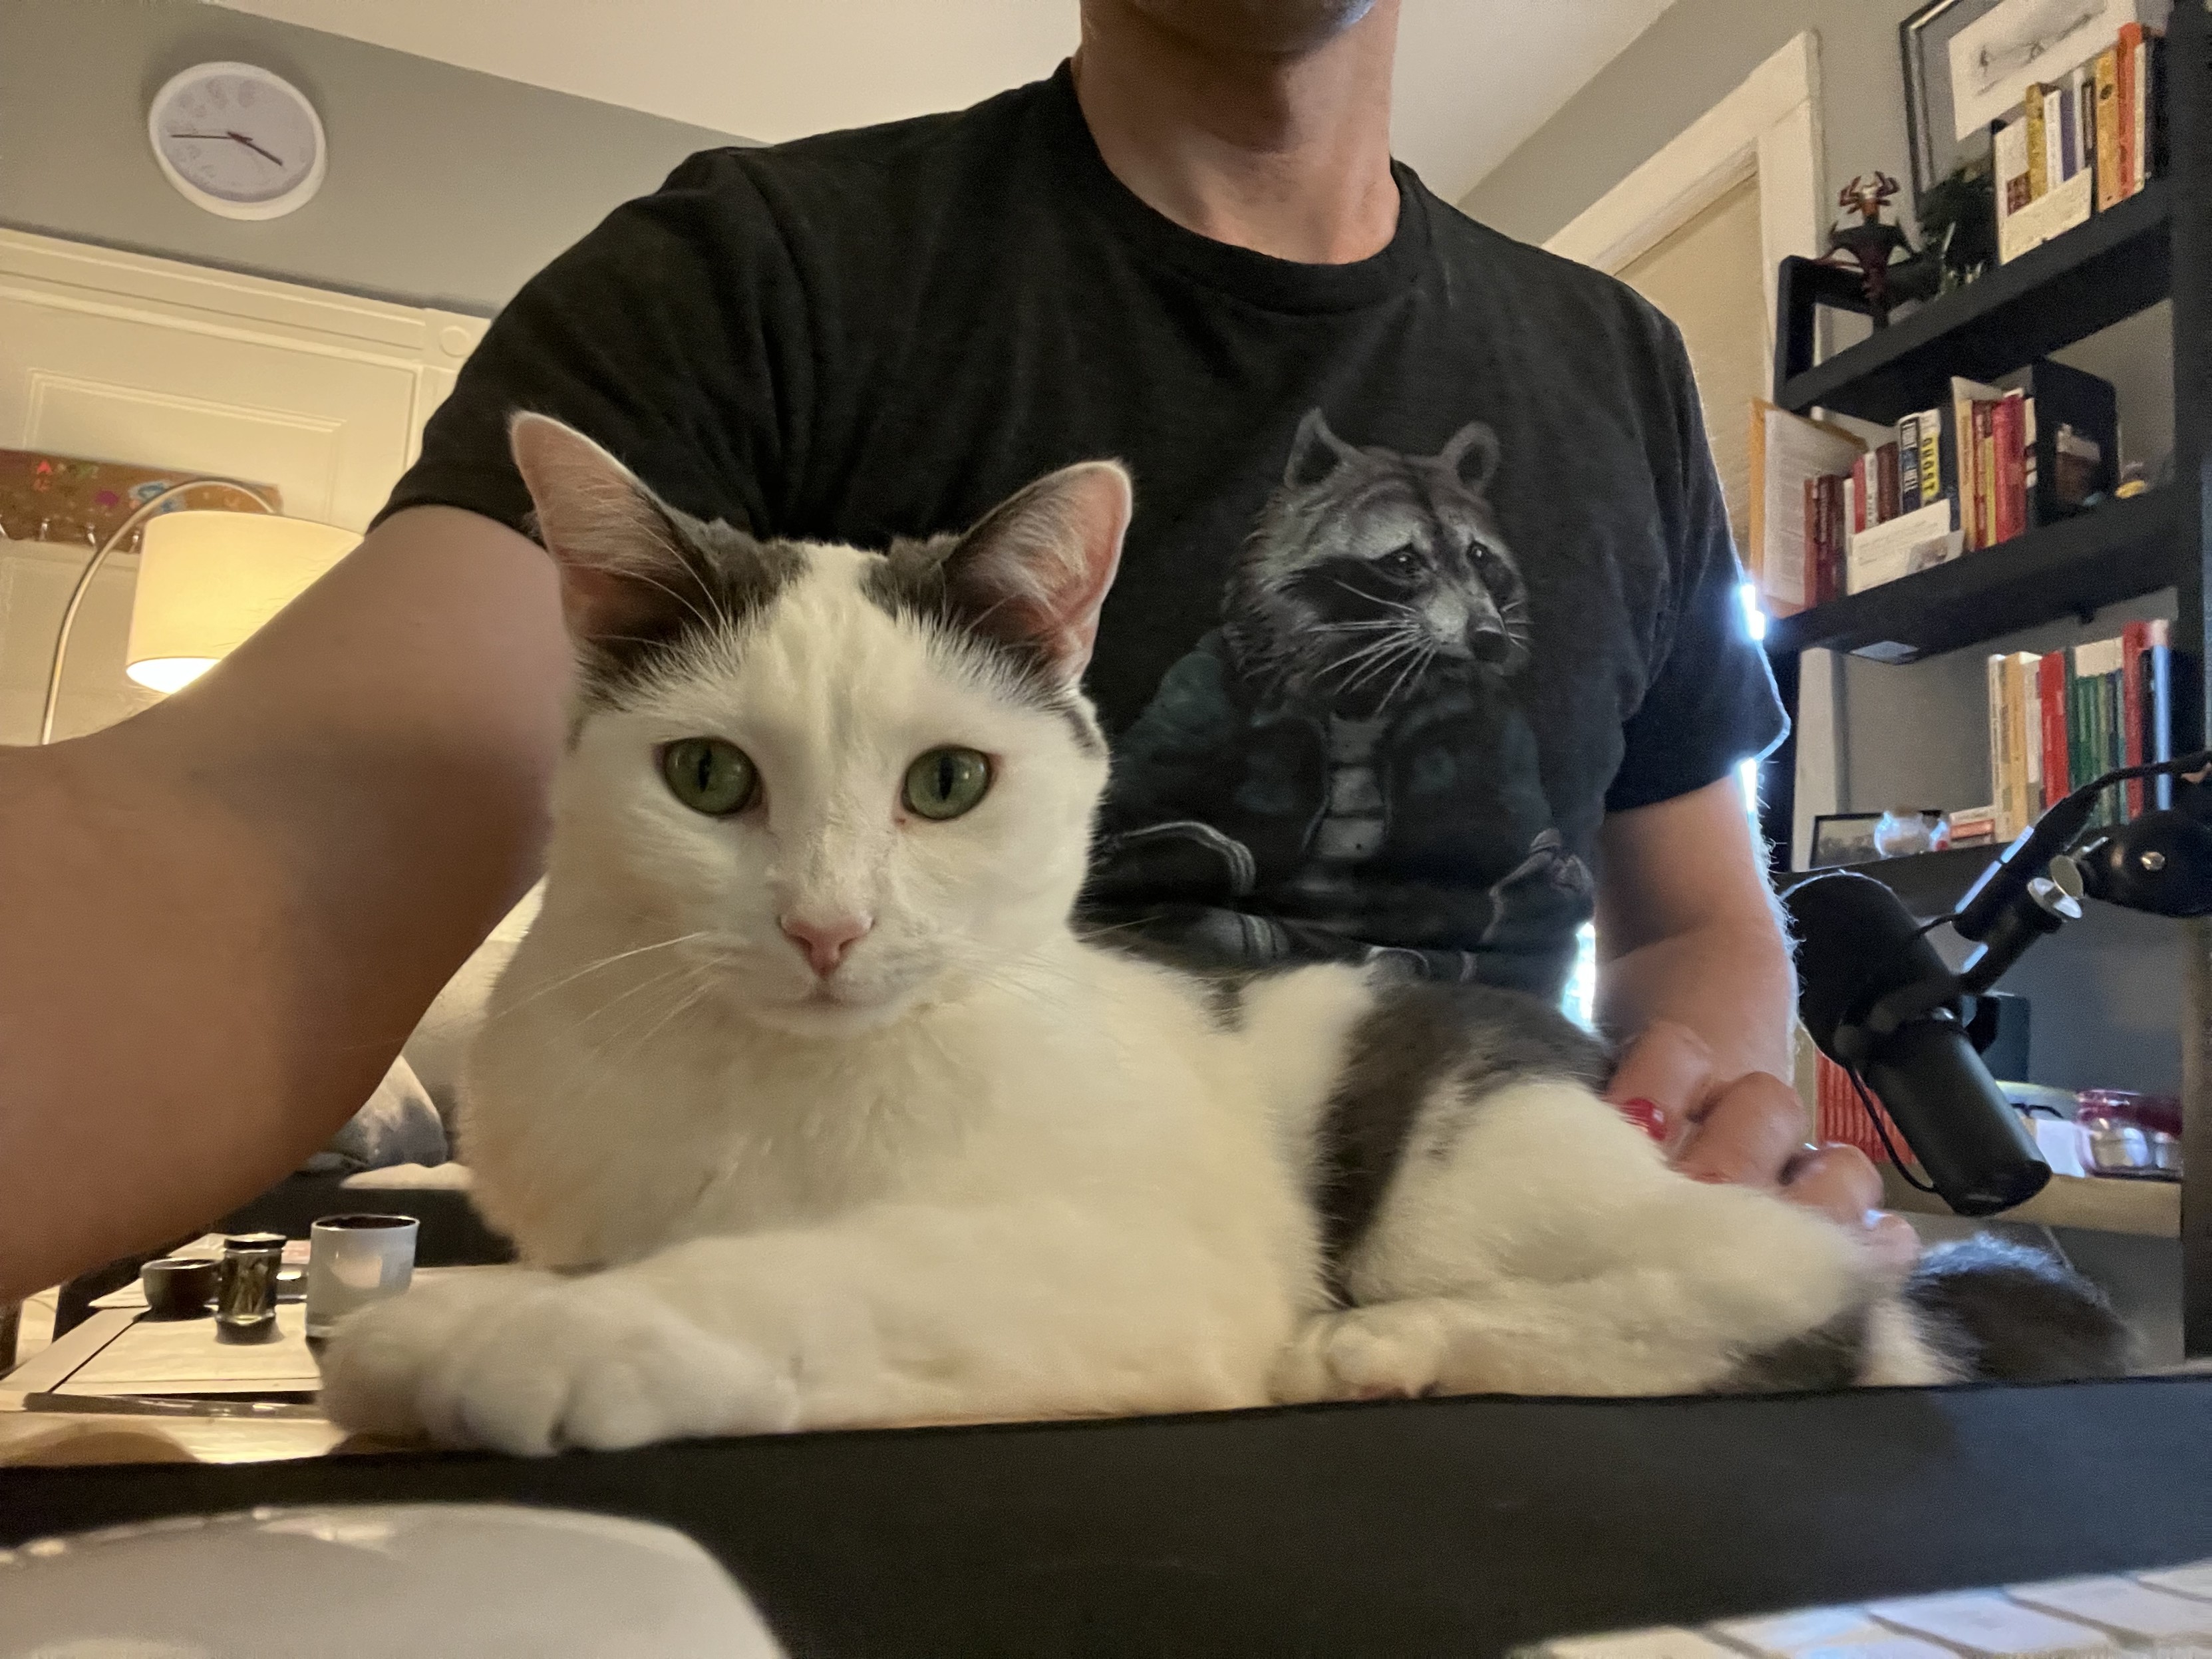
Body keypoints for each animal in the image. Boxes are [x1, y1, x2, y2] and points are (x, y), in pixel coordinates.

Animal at [316, 418, 2124, 1451]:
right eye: (706, 776)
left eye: (946, 783)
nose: (828, 927)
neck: (768, 1088)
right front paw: (507, 1311)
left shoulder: (1138, 1269)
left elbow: (820, 1268)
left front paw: (536, 1333)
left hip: (1476, 1172)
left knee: (1802, 1288)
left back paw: (1384, 1343)